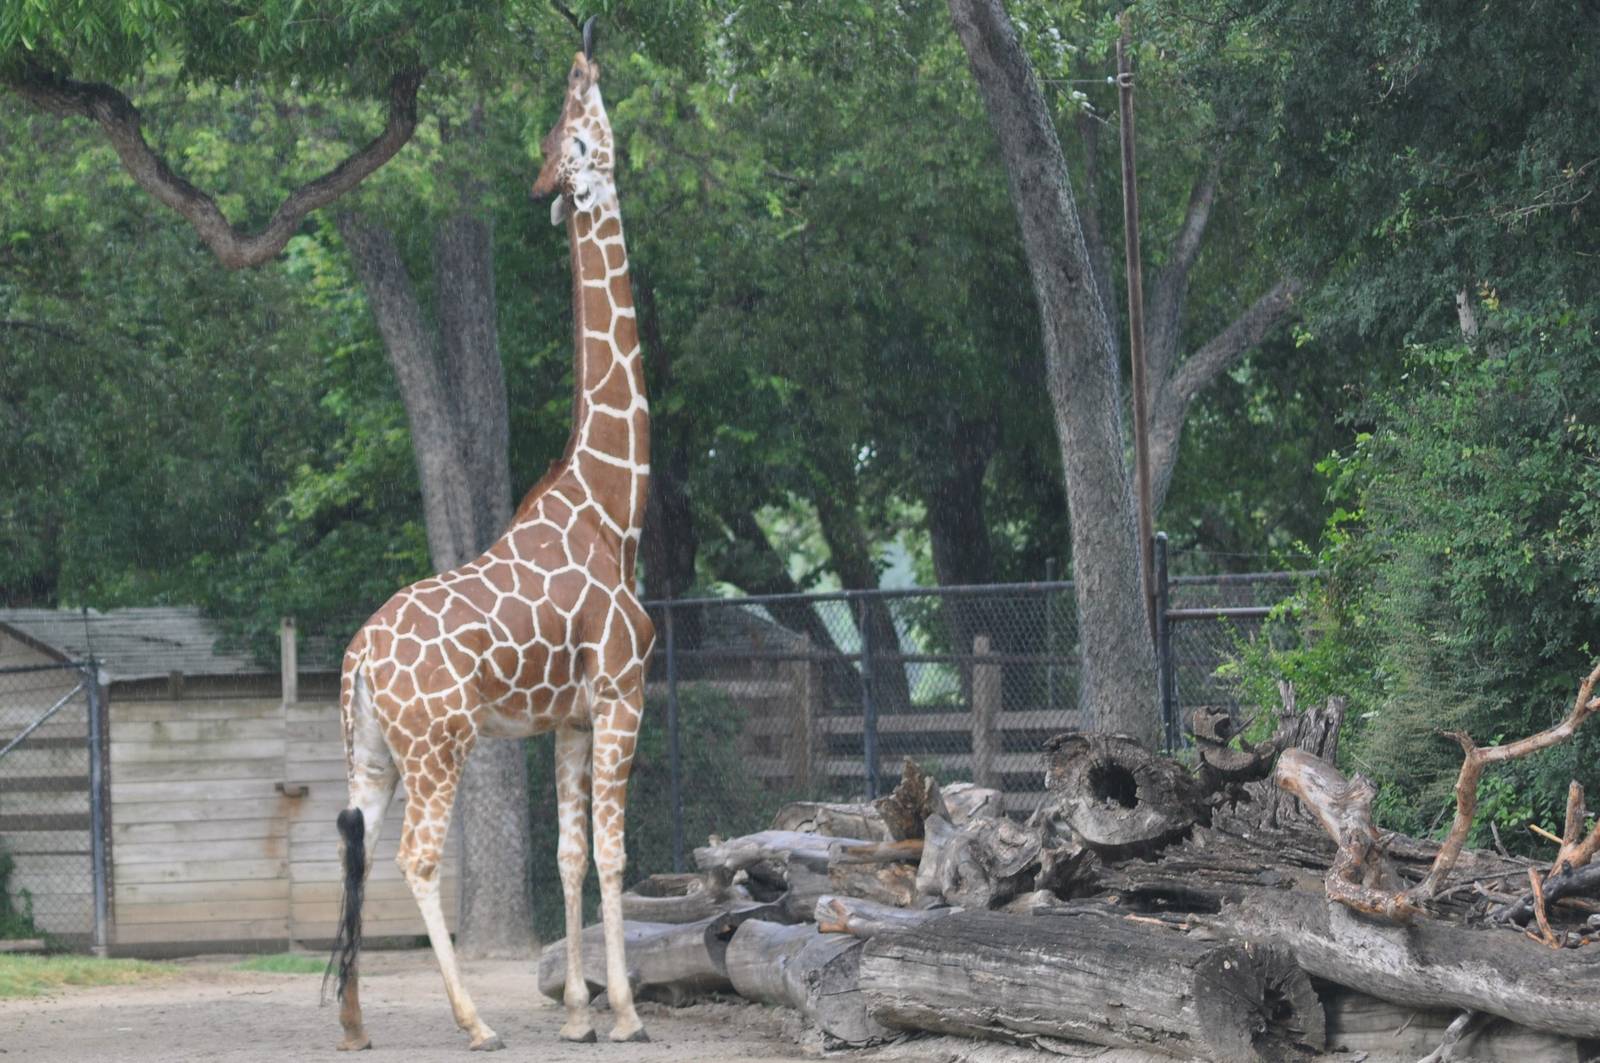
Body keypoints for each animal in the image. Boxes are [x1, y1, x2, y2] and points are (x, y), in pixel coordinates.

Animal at [326, 44, 654, 1052]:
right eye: (581, 125)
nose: (585, 55)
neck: (613, 502)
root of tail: (358, 657)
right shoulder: (623, 696)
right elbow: (616, 853)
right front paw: (626, 1012)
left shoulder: (569, 717)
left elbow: (569, 853)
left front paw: (580, 1011)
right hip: (442, 746)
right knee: (416, 857)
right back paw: (473, 1022)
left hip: (372, 751)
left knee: (353, 842)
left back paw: (354, 1021)